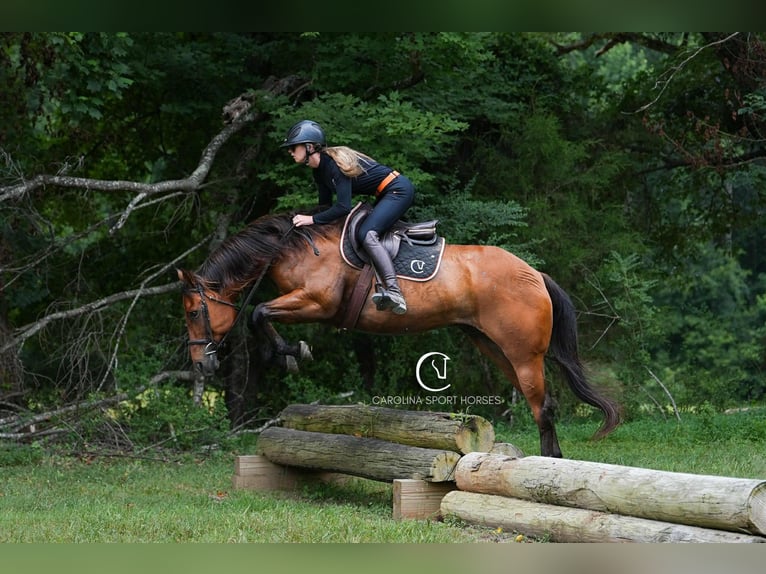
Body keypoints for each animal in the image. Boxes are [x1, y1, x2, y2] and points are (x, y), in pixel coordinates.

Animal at [178, 207, 621, 457]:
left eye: (194, 311)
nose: (201, 365)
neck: (292, 248)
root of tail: (535, 274)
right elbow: (260, 315)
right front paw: (286, 354)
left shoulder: (317, 303)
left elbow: (257, 313)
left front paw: (290, 353)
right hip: (494, 347)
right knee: (541, 404)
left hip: (523, 353)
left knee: (543, 408)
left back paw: (549, 465)